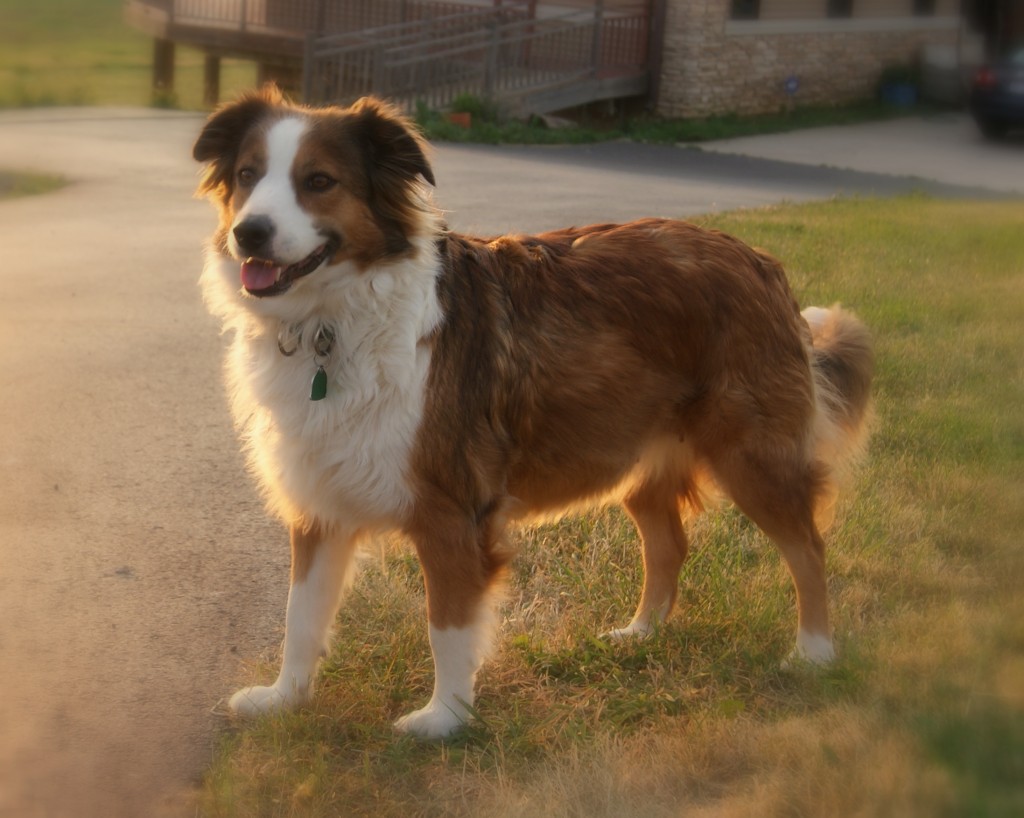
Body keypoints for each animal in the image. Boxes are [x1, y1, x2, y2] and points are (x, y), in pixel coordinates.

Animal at [192, 86, 872, 737]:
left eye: (319, 181)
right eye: (249, 174)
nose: (249, 233)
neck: (330, 325)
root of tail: (759, 261)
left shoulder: (451, 513)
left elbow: (446, 627)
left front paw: (446, 719)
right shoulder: (319, 502)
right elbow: (300, 617)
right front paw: (285, 699)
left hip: (752, 457)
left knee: (808, 547)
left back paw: (814, 654)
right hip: (643, 457)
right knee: (669, 545)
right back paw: (642, 634)